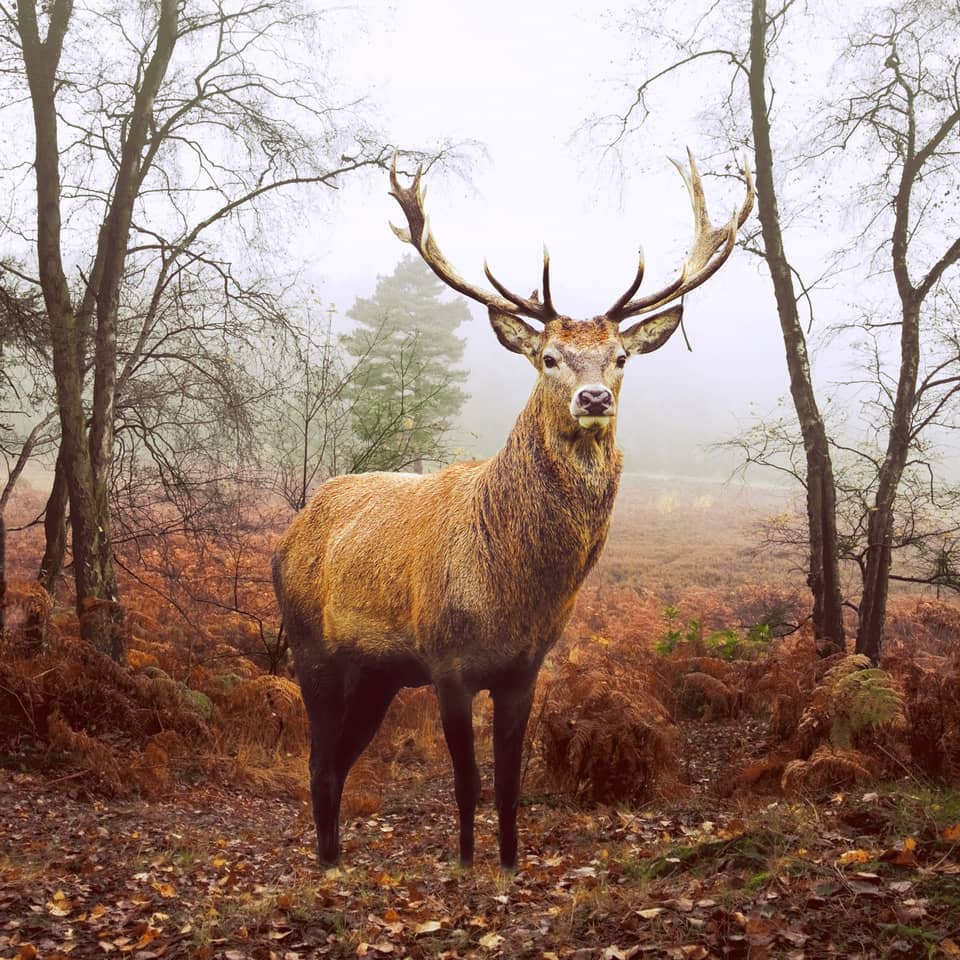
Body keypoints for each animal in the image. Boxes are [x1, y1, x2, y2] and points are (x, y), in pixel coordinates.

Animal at [272, 151, 753, 870]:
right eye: (548, 357)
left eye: (620, 358)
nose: (592, 398)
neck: (511, 589)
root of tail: (289, 533)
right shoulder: (447, 662)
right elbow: (467, 782)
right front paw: (467, 864)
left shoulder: (524, 670)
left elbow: (508, 783)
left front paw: (507, 864)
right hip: (311, 649)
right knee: (318, 762)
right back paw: (328, 867)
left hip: (377, 674)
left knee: (338, 761)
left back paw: (335, 859)